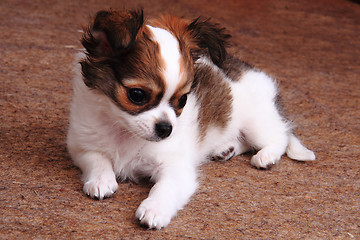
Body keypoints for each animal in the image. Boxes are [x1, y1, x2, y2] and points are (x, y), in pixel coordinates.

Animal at [67, 9, 316, 230]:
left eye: (183, 99)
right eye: (137, 95)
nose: (166, 129)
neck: (125, 132)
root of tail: (249, 69)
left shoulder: (176, 167)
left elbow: (165, 188)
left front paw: (155, 209)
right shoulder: (81, 145)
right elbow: (97, 159)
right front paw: (101, 180)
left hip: (257, 122)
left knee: (280, 136)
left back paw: (266, 156)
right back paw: (227, 148)